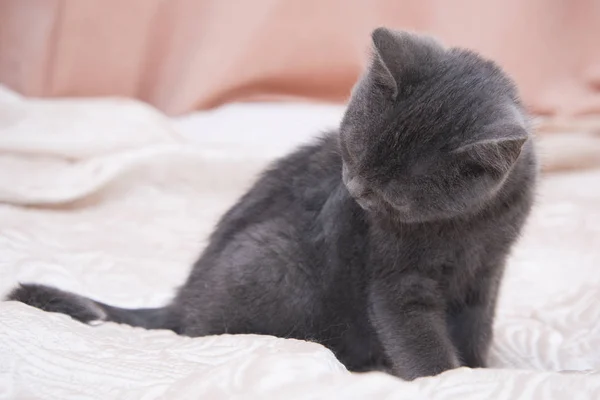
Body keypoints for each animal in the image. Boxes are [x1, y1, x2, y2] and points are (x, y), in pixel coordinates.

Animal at [7, 28, 536, 382]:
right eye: (352, 151)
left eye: (394, 189)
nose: (354, 189)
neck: (467, 225)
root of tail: (178, 302)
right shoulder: (394, 275)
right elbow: (415, 332)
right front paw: (448, 378)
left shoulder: (489, 268)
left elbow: (477, 325)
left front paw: (478, 368)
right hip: (272, 255)